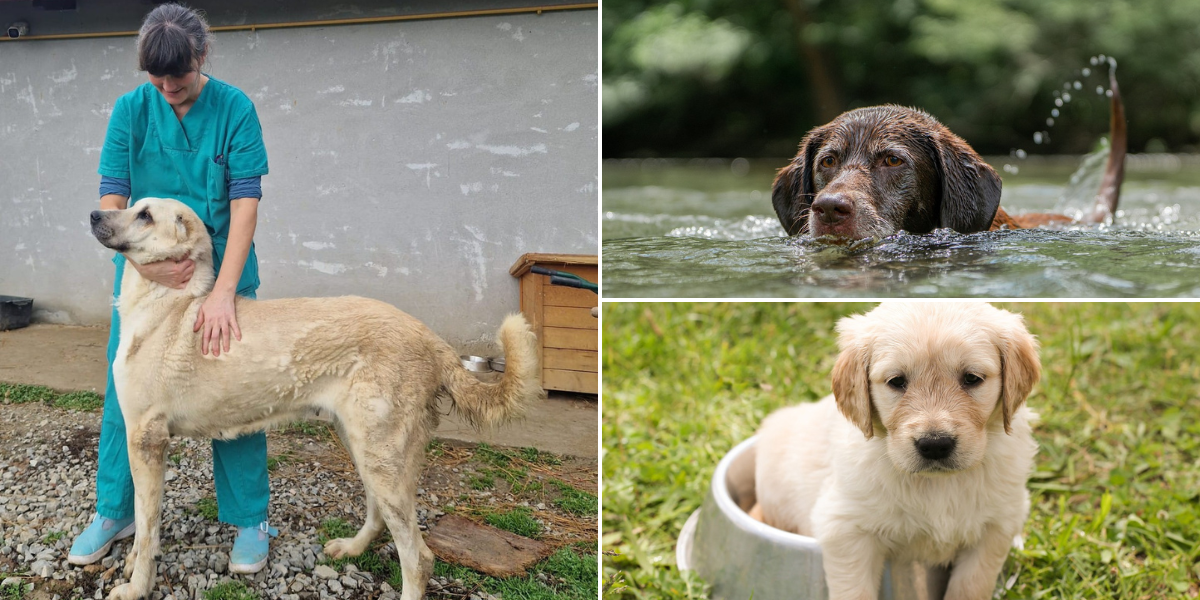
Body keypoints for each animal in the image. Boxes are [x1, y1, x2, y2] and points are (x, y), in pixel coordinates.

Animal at [88, 198, 544, 600]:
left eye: (145, 215)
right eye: (131, 205)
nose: (94, 214)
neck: (168, 305)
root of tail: (434, 341)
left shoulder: (146, 440)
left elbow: (147, 525)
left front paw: (136, 586)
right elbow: (143, 525)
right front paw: (129, 564)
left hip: (381, 456)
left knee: (419, 556)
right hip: (365, 446)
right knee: (380, 516)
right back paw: (352, 548)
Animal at [753, 304, 1036, 600]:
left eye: (972, 378)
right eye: (897, 381)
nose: (935, 444)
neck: (937, 484)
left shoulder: (998, 525)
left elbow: (972, 585)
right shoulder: (845, 527)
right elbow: (854, 591)